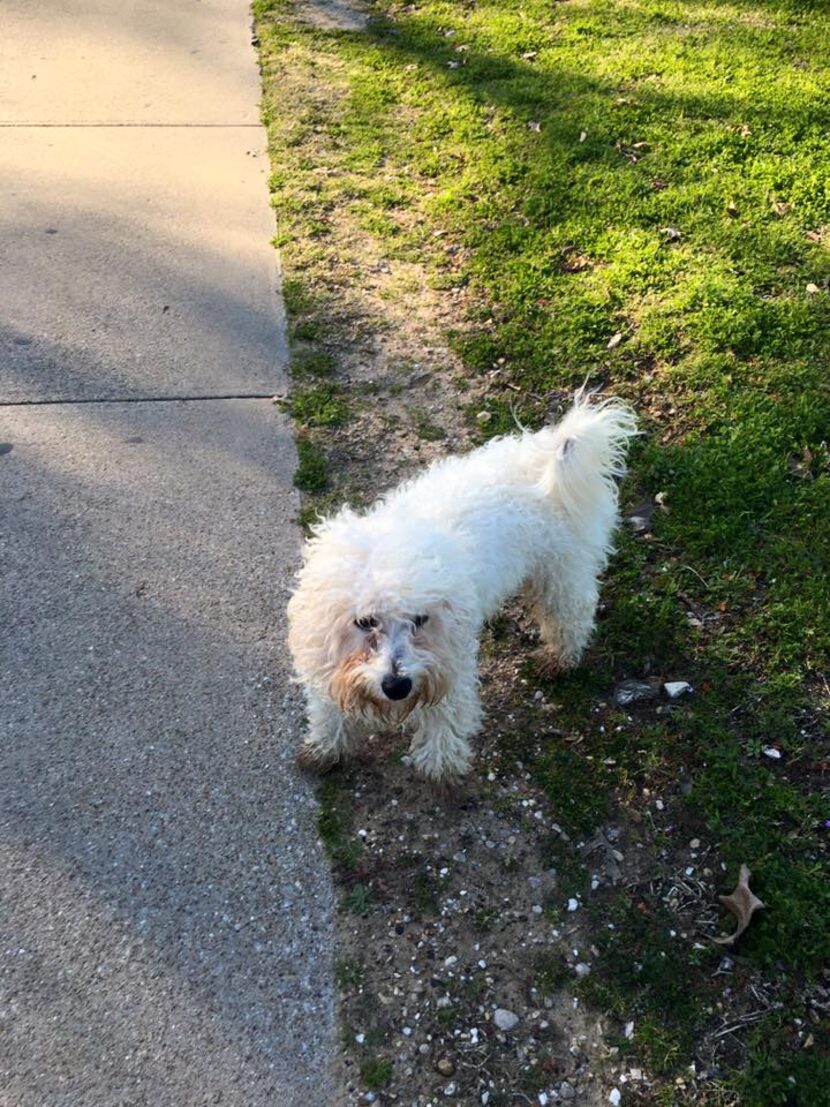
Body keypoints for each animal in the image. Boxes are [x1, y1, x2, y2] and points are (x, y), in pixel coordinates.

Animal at [289, 394, 641, 783]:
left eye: (420, 619)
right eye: (365, 622)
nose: (397, 686)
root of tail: (544, 453)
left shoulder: (451, 665)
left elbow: (445, 719)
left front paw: (439, 768)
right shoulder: (324, 657)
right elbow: (329, 712)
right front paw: (325, 748)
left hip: (561, 574)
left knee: (572, 615)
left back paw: (559, 658)